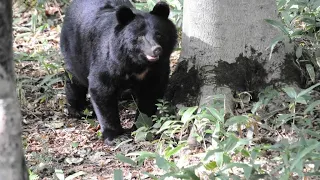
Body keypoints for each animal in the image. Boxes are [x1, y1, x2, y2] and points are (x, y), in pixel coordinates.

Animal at [60, 0, 178, 145]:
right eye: (140, 37)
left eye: (159, 34)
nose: (156, 50)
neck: (137, 63)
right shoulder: (110, 60)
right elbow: (101, 89)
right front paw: (115, 136)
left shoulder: (157, 68)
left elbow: (151, 92)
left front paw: (141, 126)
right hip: (75, 48)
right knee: (74, 79)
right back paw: (78, 109)